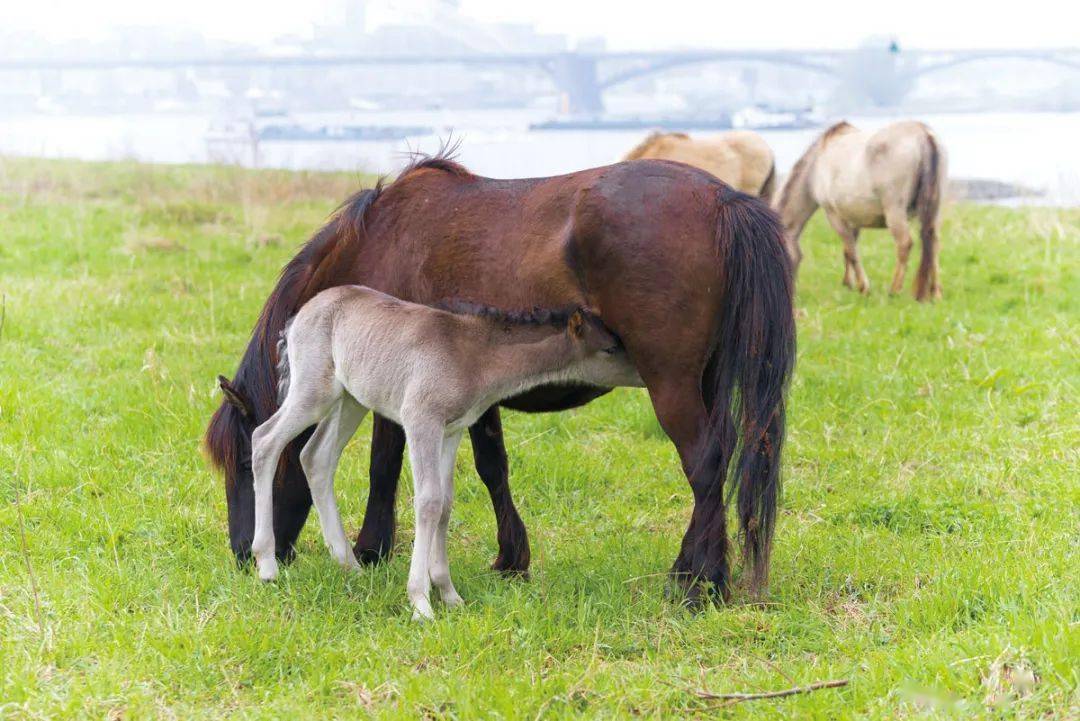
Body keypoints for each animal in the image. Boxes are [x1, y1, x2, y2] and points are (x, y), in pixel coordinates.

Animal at [252, 284, 622, 617]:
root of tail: (299, 314)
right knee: (264, 440)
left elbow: (444, 502)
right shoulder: (421, 420)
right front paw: (420, 602)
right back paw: (267, 565)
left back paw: (350, 567)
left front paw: (448, 593)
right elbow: (428, 501)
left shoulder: (452, 430)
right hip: (314, 391)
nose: (632, 360)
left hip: (350, 399)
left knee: (315, 456)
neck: (472, 353)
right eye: (608, 349)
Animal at [777, 119, 946, 300]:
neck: (815, 167)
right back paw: (936, 293)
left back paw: (894, 290)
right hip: (934, 211)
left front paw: (863, 287)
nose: (789, 293)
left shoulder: (833, 215)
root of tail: (923, 134)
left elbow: (852, 251)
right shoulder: (853, 218)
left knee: (904, 244)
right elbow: (848, 249)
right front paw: (848, 283)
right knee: (934, 243)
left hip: (895, 212)